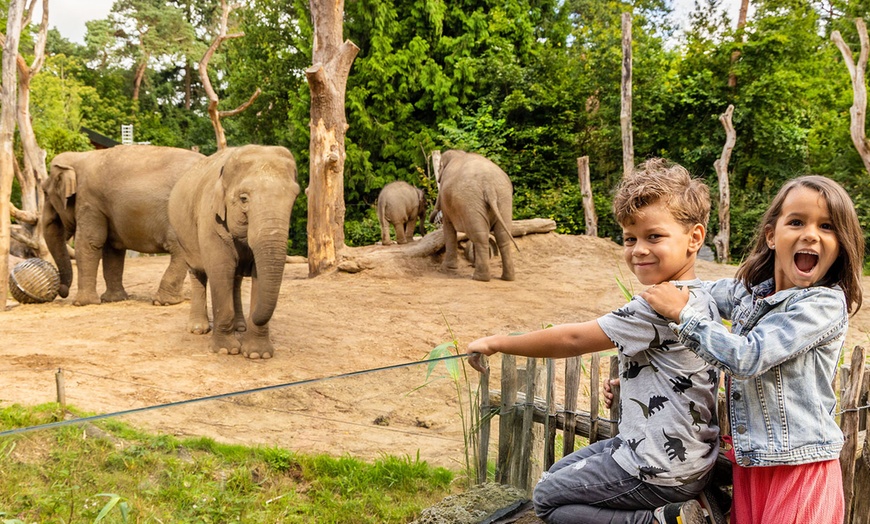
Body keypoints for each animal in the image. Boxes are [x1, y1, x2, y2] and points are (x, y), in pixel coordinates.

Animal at [45, 145, 207, 304]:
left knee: (179, 250)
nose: (62, 290)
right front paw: (113, 299)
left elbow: (88, 243)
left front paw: (83, 303)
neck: (79, 156)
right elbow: (112, 249)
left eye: (45, 193)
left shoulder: (90, 201)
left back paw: (163, 302)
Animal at [169, 144, 302, 360]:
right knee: (197, 272)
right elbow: (221, 270)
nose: (253, 318)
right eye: (243, 199)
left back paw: (239, 327)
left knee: (236, 280)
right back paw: (198, 329)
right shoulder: (210, 219)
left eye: (294, 198)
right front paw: (226, 350)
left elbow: (257, 275)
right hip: (183, 235)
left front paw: (257, 354)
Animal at [430, 149, 516, 280]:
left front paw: (446, 269)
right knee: (501, 236)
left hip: (471, 201)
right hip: (503, 198)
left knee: (480, 236)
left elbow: (448, 228)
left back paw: (479, 277)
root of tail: (488, 185)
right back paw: (507, 278)